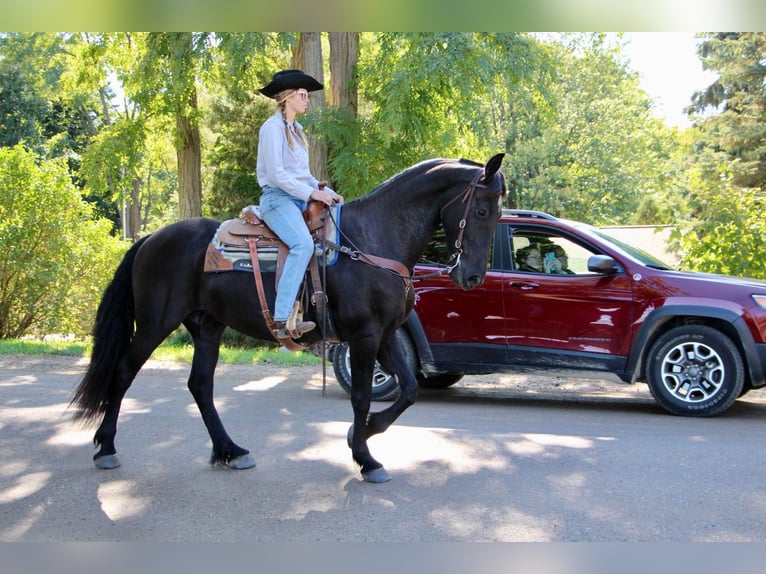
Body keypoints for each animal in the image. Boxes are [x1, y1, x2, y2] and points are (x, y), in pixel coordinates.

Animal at [69, 155, 508, 484]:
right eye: (482, 209)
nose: (471, 276)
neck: (373, 240)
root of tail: (149, 239)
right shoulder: (364, 337)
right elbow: (362, 396)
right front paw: (365, 458)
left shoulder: (385, 335)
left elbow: (409, 390)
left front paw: (362, 433)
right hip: (154, 324)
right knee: (123, 372)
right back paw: (106, 448)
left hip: (207, 327)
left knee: (200, 386)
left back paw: (229, 451)